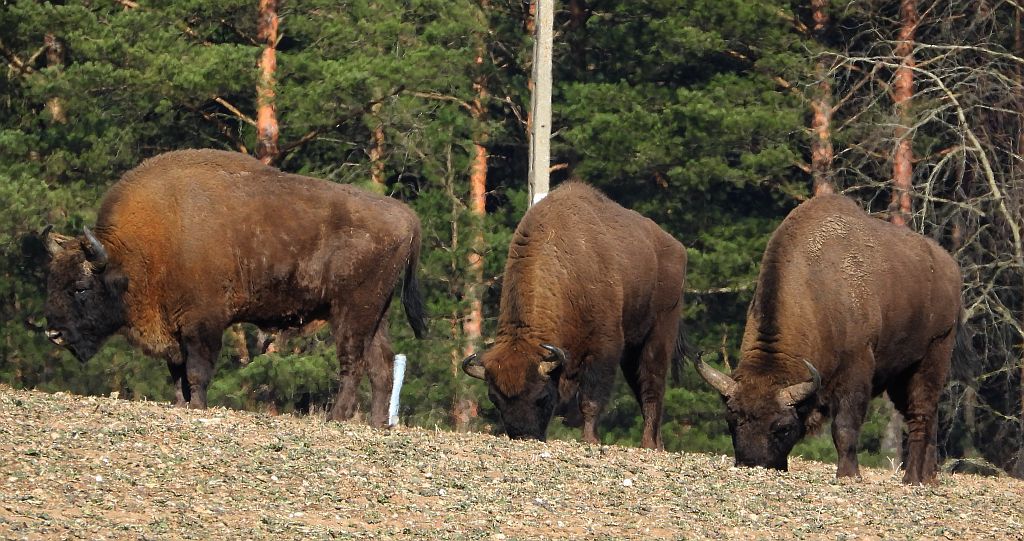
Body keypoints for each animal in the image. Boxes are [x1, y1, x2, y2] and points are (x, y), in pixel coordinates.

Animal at [42, 149, 427, 426]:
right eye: (52, 281)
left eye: (81, 287)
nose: (53, 333)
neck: (139, 250)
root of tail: (406, 215)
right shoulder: (173, 330)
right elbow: (177, 374)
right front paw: (181, 405)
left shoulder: (202, 324)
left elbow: (197, 371)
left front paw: (197, 406)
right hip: (376, 313)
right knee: (381, 365)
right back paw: (376, 424)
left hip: (351, 312)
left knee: (353, 363)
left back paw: (336, 418)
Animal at [462, 182, 687, 449]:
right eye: (495, 399)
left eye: (541, 396)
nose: (523, 435)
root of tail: (677, 248)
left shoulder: (603, 349)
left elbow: (590, 399)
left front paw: (590, 439)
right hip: (633, 351)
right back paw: (657, 443)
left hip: (660, 332)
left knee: (653, 384)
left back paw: (648, 444)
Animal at [694, 194, 962, 484]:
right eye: (731, 420)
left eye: (783, 427)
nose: (753, 464)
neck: (817, 292)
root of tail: (949, 266)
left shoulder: (856, 370)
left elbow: (844, 427)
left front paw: (848, 474)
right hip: (900, 375)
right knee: (927, 416)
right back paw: (929, 476)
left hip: (934, 353)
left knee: (921, 414)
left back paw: (912, 478)